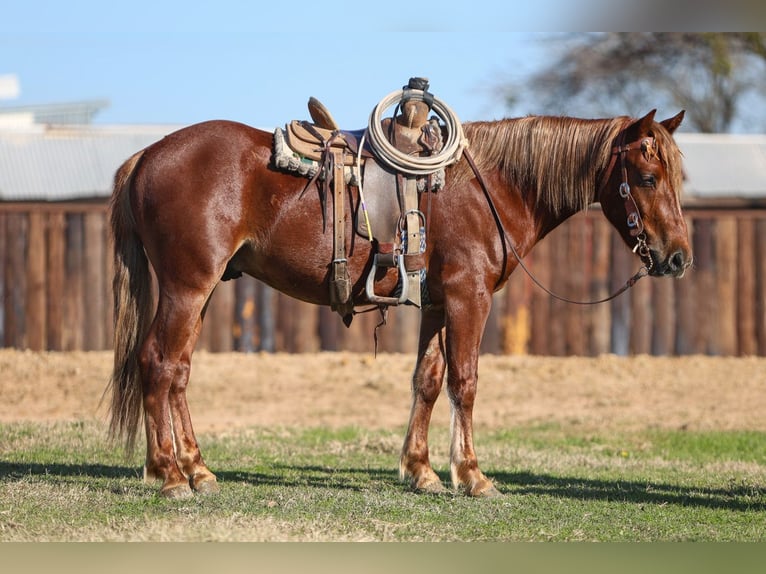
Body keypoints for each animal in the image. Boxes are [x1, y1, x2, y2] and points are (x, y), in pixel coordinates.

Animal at [106, 108, 688, 500]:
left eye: (678, 178)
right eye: (647, 177)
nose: (679, 257)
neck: (491, 187)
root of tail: (147, 156)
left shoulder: (437, 305)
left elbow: (427, 380)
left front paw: (421, 470)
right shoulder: (469, 298)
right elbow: (465, 382)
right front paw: (472, 475)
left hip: (200, 292)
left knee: (179, 372)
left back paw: (197, 469)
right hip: (186, 289)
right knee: (158, 363)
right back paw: (168, 474)